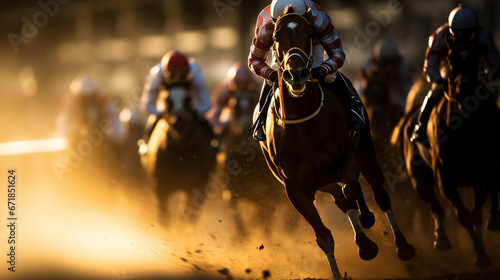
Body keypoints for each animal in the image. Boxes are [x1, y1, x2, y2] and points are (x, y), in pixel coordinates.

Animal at [142, 86, 218, 224]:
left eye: (188, 100)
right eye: (167, 101)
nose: (179, 123)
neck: (180, 157)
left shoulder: (198, 187)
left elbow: (188, 215)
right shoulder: (161, 187)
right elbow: (164, 217)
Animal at [254, 6, 414, 278]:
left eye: (309, 34)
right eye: (276, 37)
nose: (296, 74)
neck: (302, 125)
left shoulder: (346, 157)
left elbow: (352, 189)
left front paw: (367, 222)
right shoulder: (294, 188)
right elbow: (324, 236)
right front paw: (358, 252)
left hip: (365, 152)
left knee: (377, 193)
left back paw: (399, 243)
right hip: (321, 179)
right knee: (340, 198)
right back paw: (364, 239)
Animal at [392, 41, 498, 266]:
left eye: (474, 58)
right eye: (450, 59)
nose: (463, 90)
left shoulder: (479, 176)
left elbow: (476, 212)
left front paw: (482, 252)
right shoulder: (444, 179)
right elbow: (463, 215)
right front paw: (480, 253)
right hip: (419, 178)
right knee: (434, 207)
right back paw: (441, 238)